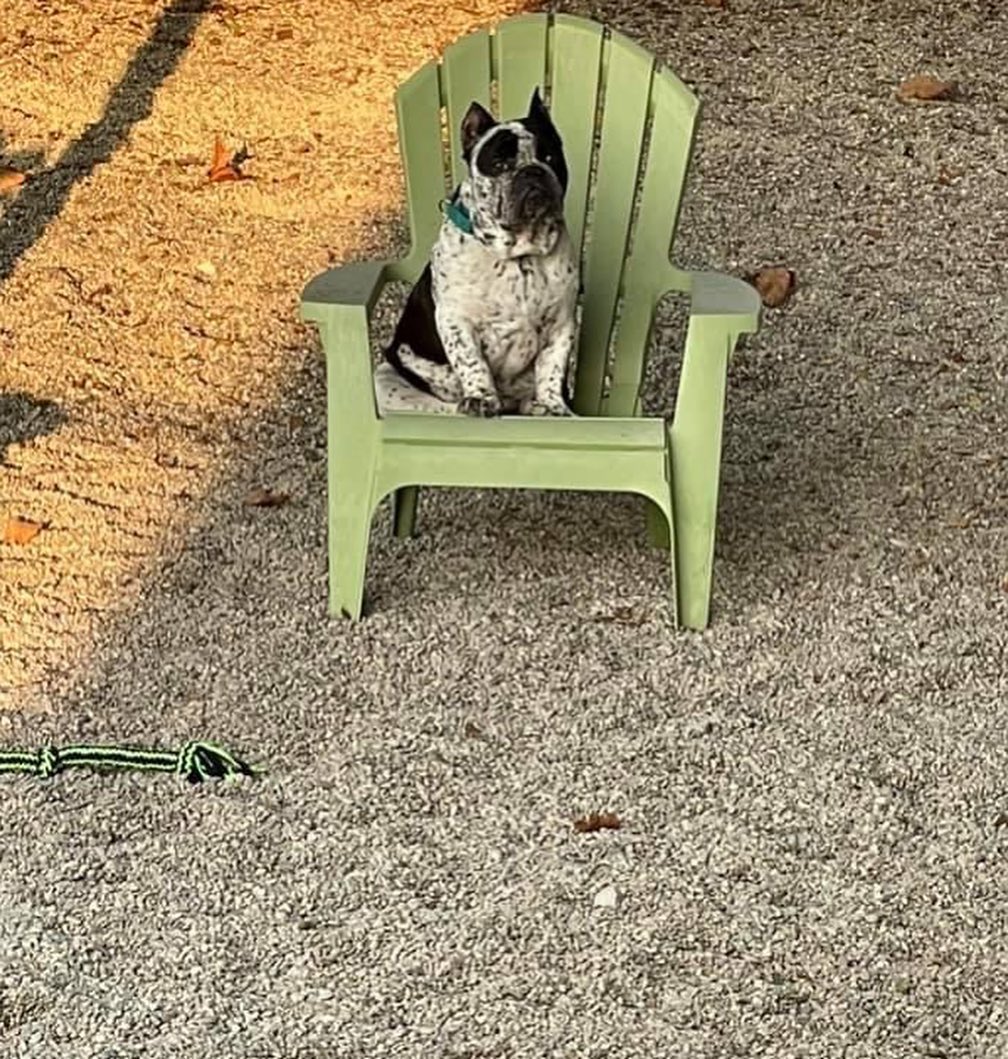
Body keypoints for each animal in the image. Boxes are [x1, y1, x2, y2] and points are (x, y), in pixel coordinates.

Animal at [381, 87, 580, 417]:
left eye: (550, 156)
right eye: (499, 164)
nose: (533, 171)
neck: (519, 255)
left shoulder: (561, 325)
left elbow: (551, 368)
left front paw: (552, 405)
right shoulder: (457, 321)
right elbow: (472, 362)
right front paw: (482, 398)